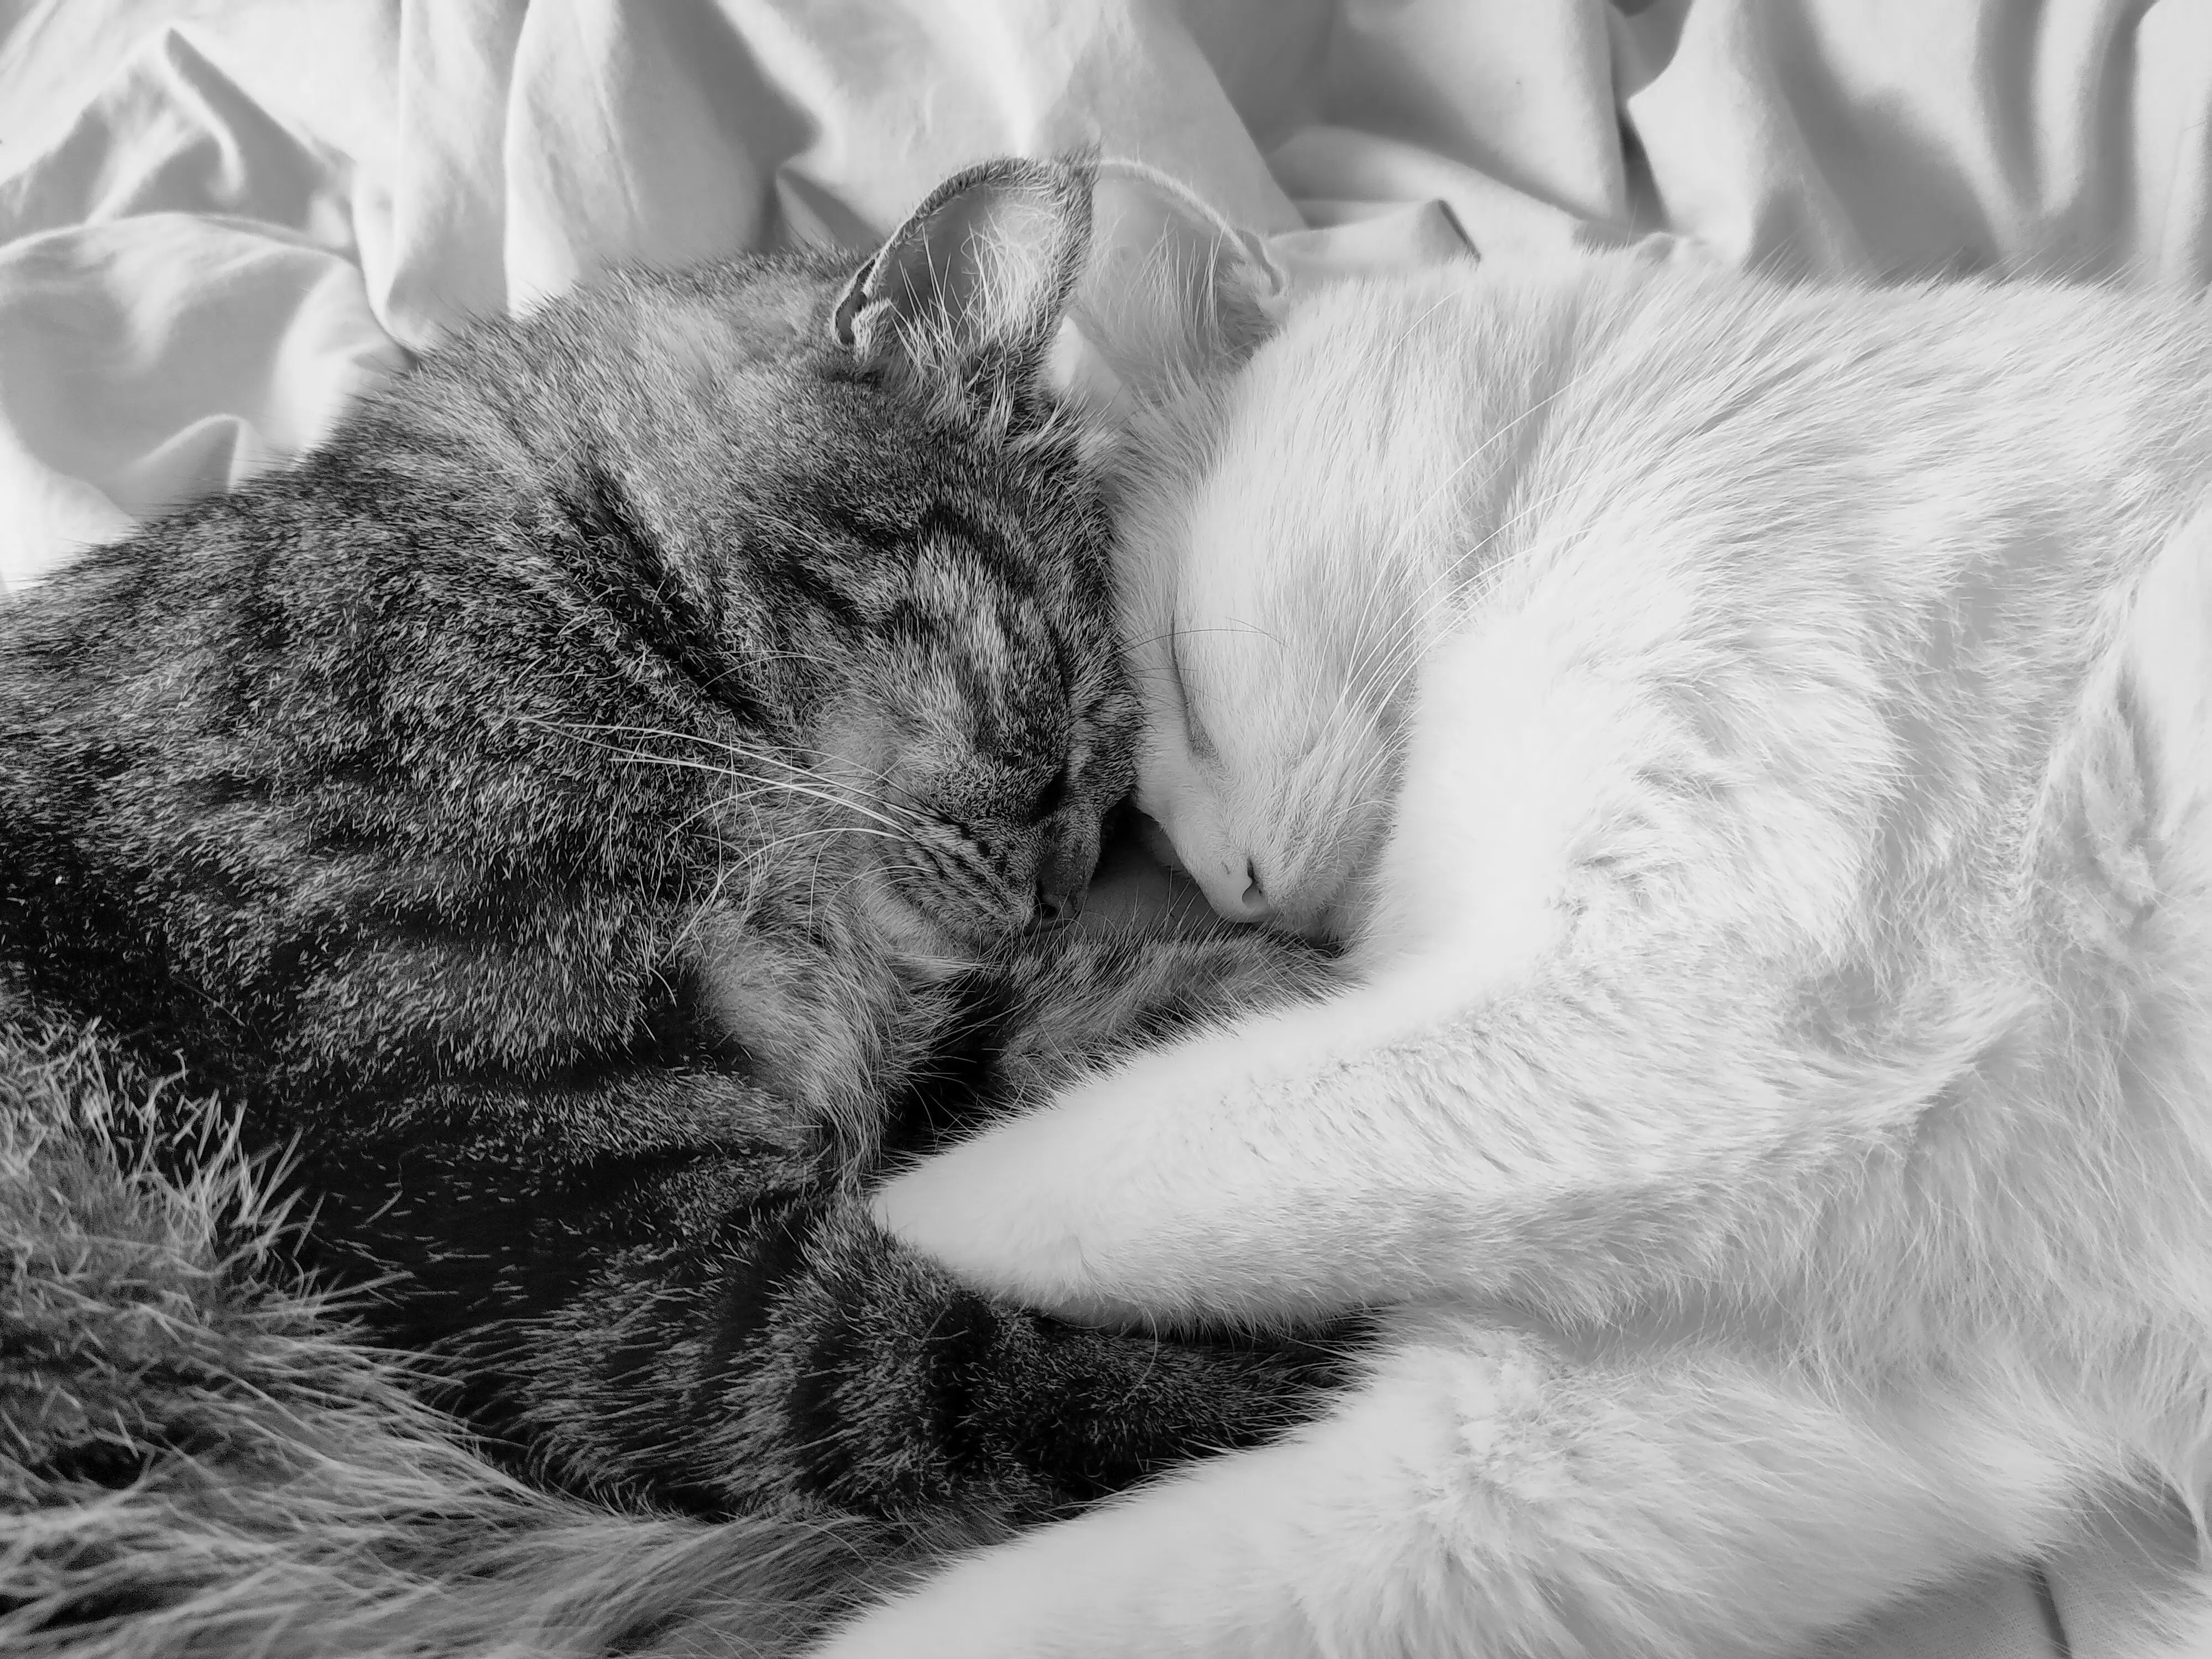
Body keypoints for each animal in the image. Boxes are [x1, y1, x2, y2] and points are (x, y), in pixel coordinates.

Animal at [805, 218, 2212, 1655]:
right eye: (1137, 826)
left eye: (1181, 694)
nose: (1234, 891)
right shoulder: (1678, 1416)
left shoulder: (1726, 989)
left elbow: (1139, 1151)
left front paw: (869, 1205)